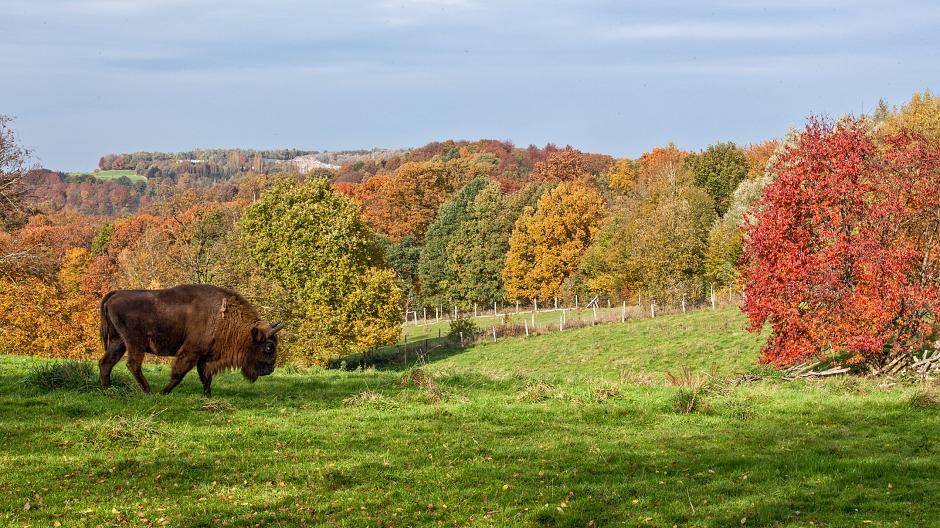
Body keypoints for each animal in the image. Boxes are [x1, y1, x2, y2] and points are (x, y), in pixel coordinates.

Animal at [100, 284, 282, 396]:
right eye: (269, 347)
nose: (270, 369)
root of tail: (116, 293)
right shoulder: (190, 352)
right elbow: (178, 374)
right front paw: (164, 392)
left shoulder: (204, 357)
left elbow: (206, 378)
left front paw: (208, 396)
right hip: (134, 344)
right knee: (133, 365)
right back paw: (148, 391)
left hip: (118, 342)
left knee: (106, 363)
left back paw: (108, 390)